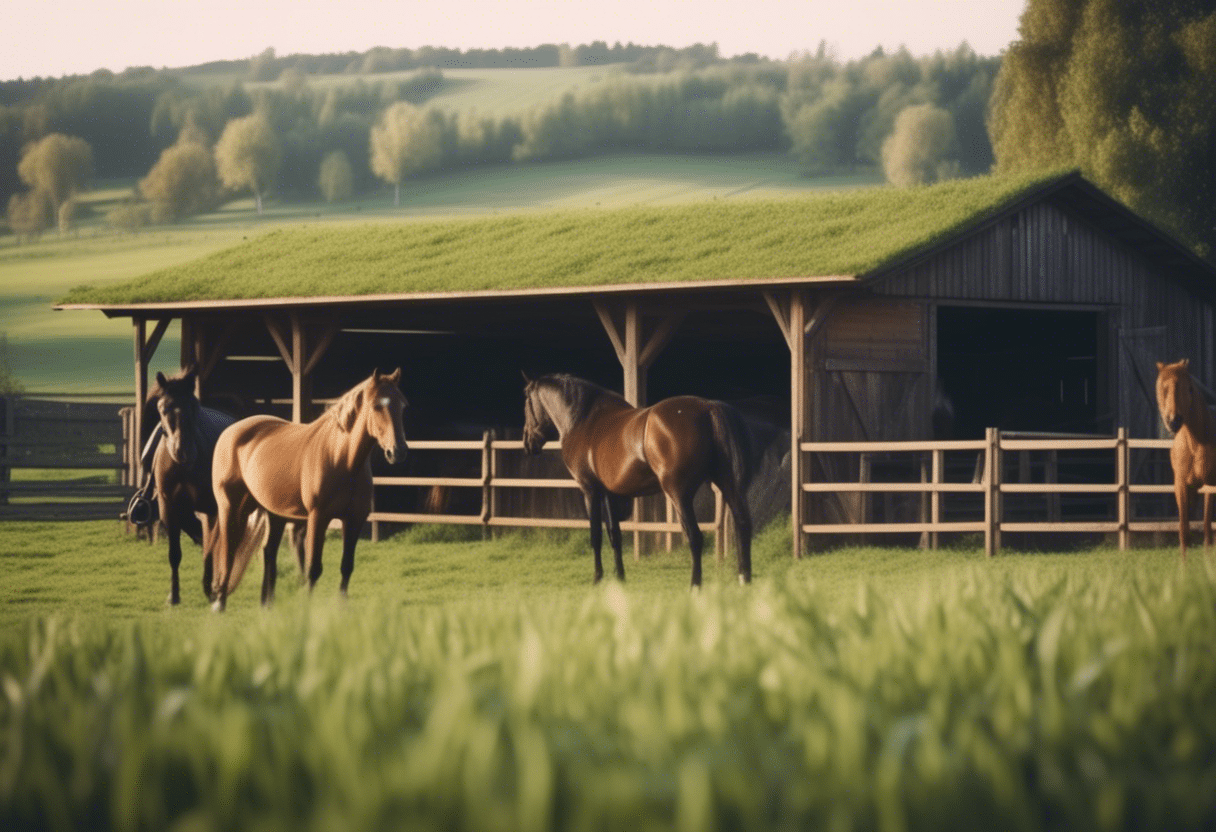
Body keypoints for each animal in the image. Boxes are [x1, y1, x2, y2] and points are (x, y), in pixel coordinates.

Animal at [207, 368, 408, 611]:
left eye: (402, 405)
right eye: (377, 405)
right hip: (231, 507)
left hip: (274, 513)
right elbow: (313, 568)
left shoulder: (354, 519)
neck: (342, 459)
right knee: (228, 549)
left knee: (269, 551)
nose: (397, 451)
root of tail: (230, 430)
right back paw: (220, 601)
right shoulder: (318, 517)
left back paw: (266, 603)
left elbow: (347, 566)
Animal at [522, 373, 754, 588]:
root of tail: (707, 407)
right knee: (742, 525)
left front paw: (597, 578)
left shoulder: (590, 490)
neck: (584, 420)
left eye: (526, 401)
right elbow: (614, 534)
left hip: (678, 493)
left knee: (695, 537)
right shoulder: (608, 493)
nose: (528, 443)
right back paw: (745, 580)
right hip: (727, 485)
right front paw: (620, 577)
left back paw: (695, 586)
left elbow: (596, 535)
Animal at [1157, 359, 1216, 559]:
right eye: (1162, 388)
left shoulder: (1210, 485)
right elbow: (1184, 531)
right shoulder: (1182, 486)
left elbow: (1207, 530)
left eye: (1187, 388)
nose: (1173, 421)